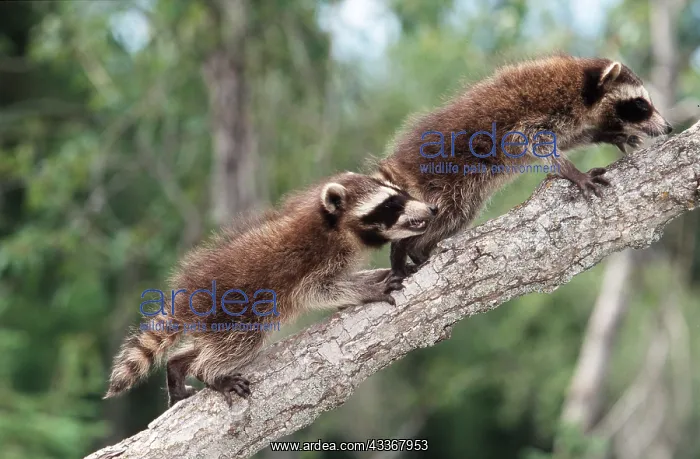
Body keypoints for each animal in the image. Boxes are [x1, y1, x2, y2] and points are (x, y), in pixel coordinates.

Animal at [104, 172, 436, 406]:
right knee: (240, 342)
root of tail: (185, 299)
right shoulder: (313, 261)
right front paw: (366, 288)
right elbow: (318, 291)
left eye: (401, 194)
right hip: (232, 308)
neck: (335, 226)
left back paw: (178, 364)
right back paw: (207, 371)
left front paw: (375, 275)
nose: (431, 209)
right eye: (390, 205)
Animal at [375, 55, 673, 277]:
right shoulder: (540, 111)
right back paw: (406, 247)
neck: (581, 86)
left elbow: (568, 139)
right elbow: (536, 142)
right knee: (449, 213)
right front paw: (574, 173)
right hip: (445, 179)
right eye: (640, 104)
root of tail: (399, 167)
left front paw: (606, 134)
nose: (669, 127)